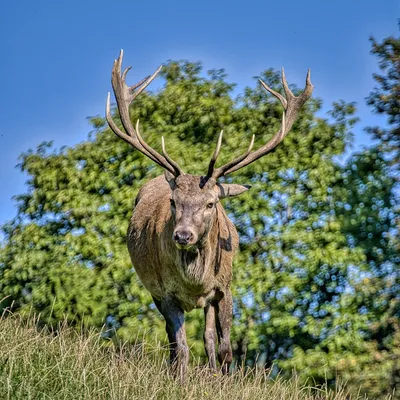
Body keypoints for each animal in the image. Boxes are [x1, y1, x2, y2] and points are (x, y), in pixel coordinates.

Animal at [105, 50, 312, 378]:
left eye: (211, 204)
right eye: (174, 201)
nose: (183, 235)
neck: (196, 281)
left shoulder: (224, 288)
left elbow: (224, 347)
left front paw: (222, 379)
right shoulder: (165, 293)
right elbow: (182, 347)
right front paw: (180, 380)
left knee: (210, 337)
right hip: (154, 292)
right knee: (175, 340)